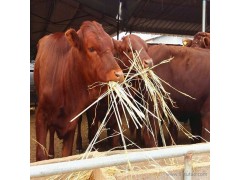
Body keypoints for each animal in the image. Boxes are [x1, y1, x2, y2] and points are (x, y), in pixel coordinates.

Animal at [33, 20, 124, 160]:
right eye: (91, 48)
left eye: (112, 48)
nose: (119, 74)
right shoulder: (41, 116)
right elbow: (41, 156)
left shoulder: (72, 121)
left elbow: (66, 155)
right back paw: (52, 152)